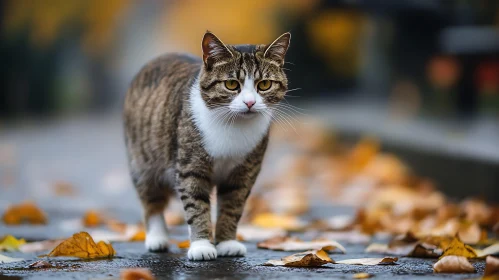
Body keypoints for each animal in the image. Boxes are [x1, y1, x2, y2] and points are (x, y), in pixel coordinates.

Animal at [122, 31, 292, 262]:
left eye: (264, 84)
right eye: (231, 84)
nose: (249, 103)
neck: (234, 126)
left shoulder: (244, 174)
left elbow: (232, 207)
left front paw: (227, 242)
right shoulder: (190, 168)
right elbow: (196, 206)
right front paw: (201, 245)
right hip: (142, 161)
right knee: (151, 199)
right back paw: (157, 238)